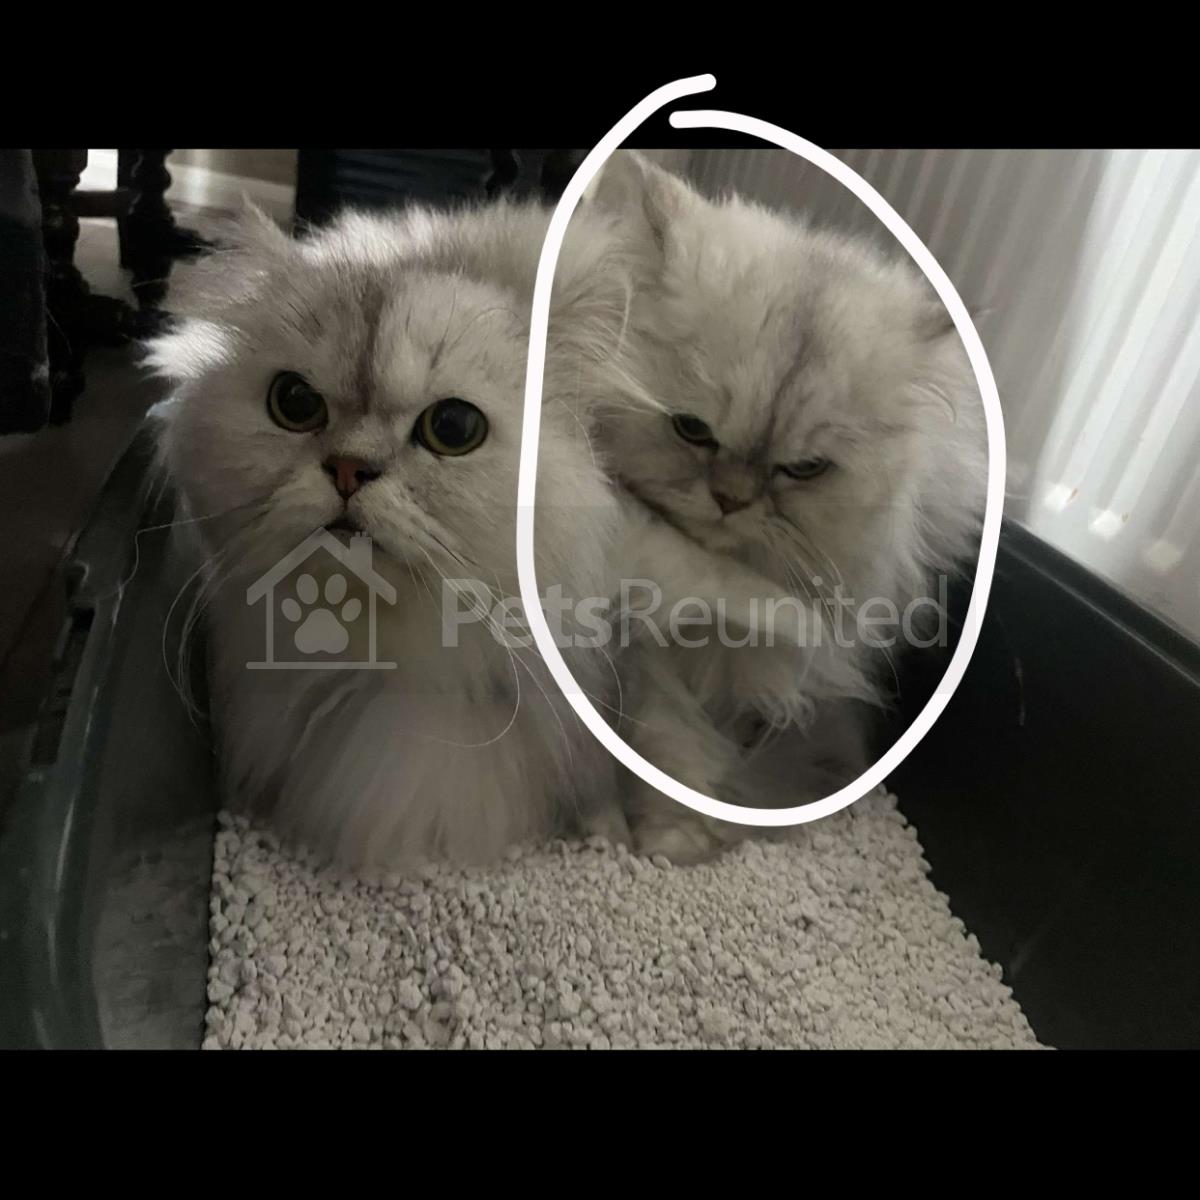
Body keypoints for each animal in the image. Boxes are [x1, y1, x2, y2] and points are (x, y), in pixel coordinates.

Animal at [585, 151, 988, 863]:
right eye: (691, 430)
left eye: (804, 469)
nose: (729, 500)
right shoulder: (648, 657)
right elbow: (667, 746)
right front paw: (671, 840)